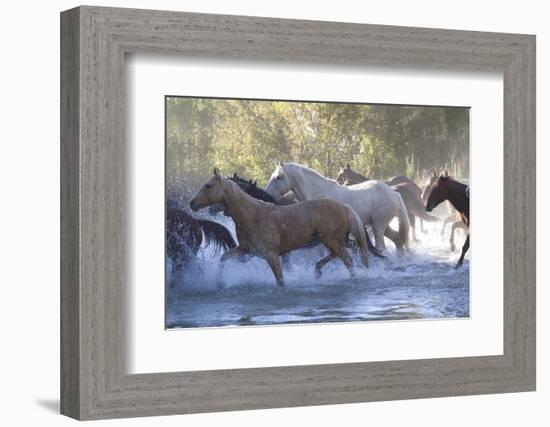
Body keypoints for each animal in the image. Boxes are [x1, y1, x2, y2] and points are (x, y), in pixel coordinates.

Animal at [191, 171, 370, 288]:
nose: (191, 203)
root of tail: (345, 207)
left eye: (208, 185)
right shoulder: (246, 252)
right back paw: (317, 271)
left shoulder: (272, 255)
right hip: (331, 241)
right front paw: (219, 283)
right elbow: (224, 258)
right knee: (338, 256)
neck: (253, 214)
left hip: (333, 241)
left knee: (348, 260)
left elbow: (280, 280)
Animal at [266, 162, 412, 252]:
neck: (319, 193)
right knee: (398, 241)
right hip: (382, 226)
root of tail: (395, 193)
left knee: (382, 247)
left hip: (378, 226)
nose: (267, 193)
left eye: (278, 177)